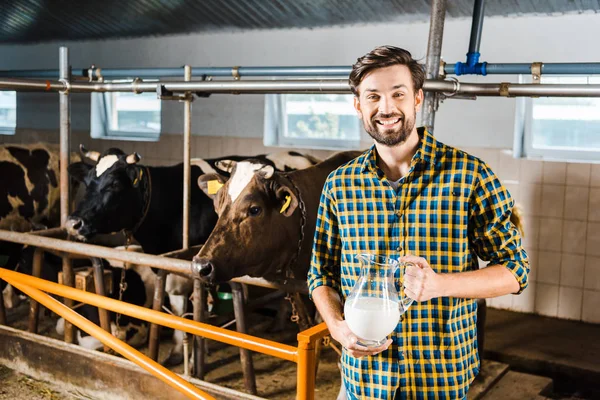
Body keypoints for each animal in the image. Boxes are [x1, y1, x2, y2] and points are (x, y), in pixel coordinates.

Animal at [63, 147, 322, 366]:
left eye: (115, 184)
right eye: (88, 181)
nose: (73, 223)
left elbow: (197, 312)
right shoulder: (170, 266)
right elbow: (178, 312)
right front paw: (178, 352)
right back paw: (278, 322)